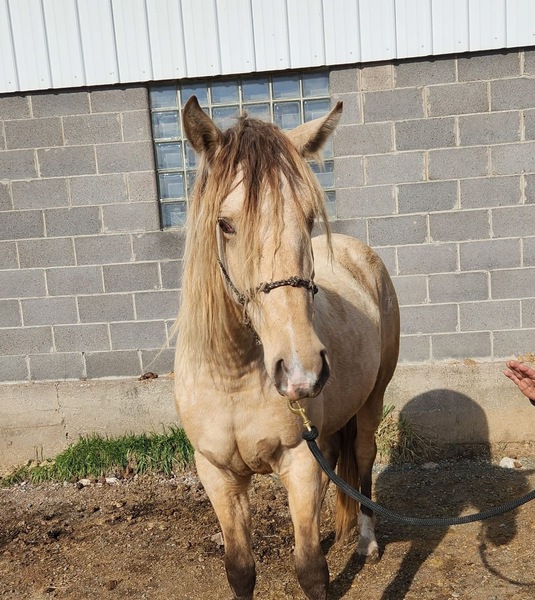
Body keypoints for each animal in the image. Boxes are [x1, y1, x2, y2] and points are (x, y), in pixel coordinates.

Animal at [174, 95, 400, 600]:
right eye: (225, 224)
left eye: (311, 218)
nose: (301, 372)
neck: (234, 375)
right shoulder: (217, 474)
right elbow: (240, 570)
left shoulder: (298, 461)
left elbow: (311, 571)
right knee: (335, 456)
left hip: (372, 399)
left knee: (363, 457)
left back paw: (366, 541)